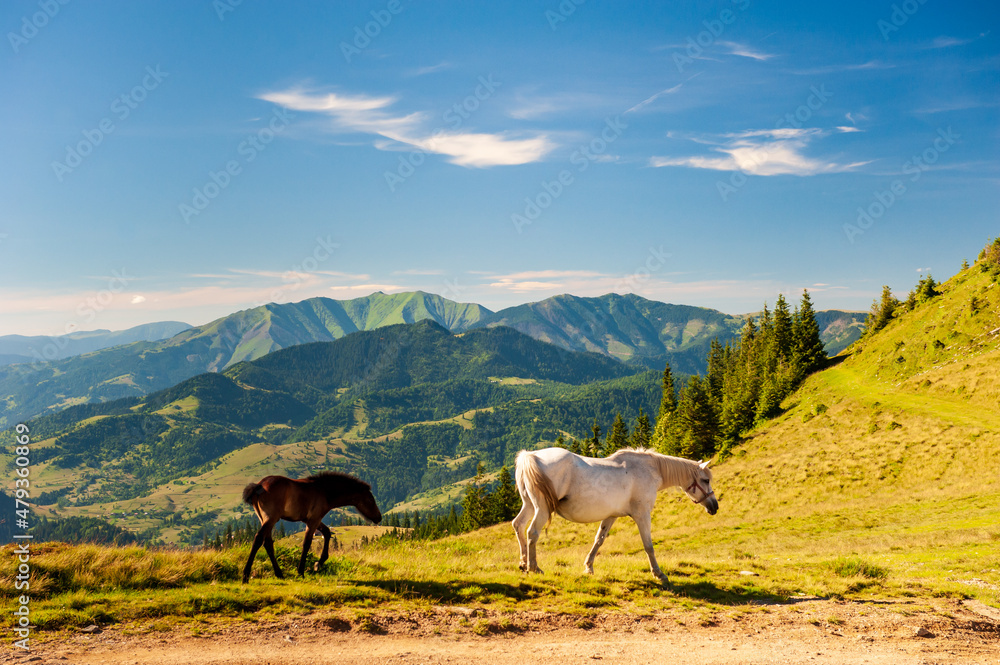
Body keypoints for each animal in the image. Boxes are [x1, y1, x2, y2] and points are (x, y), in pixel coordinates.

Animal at [242, 470, 382, 584]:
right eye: (370, 500)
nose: (379, 517)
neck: (324, 491)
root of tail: (259, 485)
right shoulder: (313, 520)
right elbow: (307, 543)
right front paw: (301, 571)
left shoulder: (313, 520)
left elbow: (327, 532)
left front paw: (319, 563)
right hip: (270, 519)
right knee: (259, 538)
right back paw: (246, 575)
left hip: (264, 519)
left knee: (267, 543)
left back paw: (279, 574)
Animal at [516, 446, 720, 580]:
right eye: (705, 480)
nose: (715, 506)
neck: (650, 469)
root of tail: (531, 456)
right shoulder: (642, 515)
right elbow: (648, 545)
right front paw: (658, 573)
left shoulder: (611, 516)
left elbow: (599, 540)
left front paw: (589, 567)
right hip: (542, 508)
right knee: (532, 532)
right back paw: (534, 567)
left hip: (529, 505)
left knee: (518, 525)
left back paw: (523, 563)